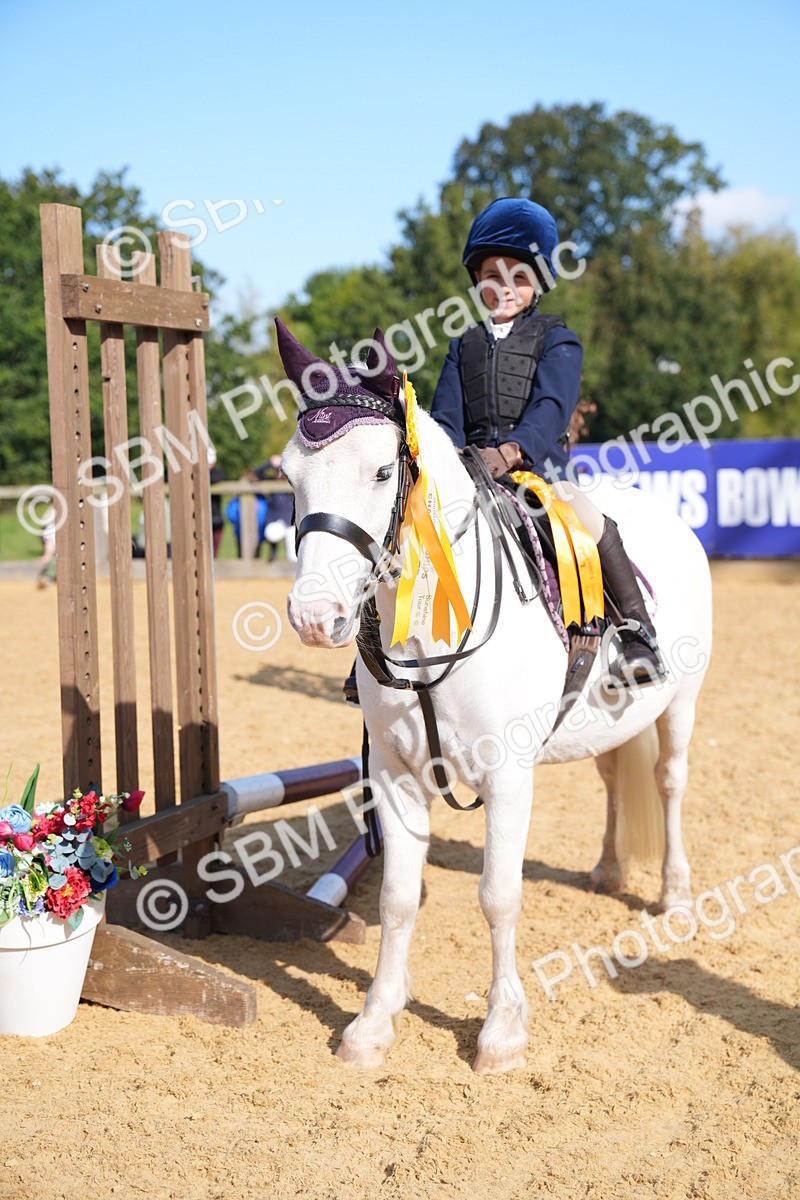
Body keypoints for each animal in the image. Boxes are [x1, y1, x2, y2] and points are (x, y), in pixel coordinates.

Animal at [279, 327, 712, 1076]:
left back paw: (675, 895)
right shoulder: (393, 774)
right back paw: (607, 870)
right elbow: (397, 899)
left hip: (679, 704)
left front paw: (502, 1031)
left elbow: (499, 897)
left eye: (381, 473)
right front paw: (372, 1024)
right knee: (614, 781)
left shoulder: (508, 776)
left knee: (670, 782)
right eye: (288, 477)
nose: (313, 617)